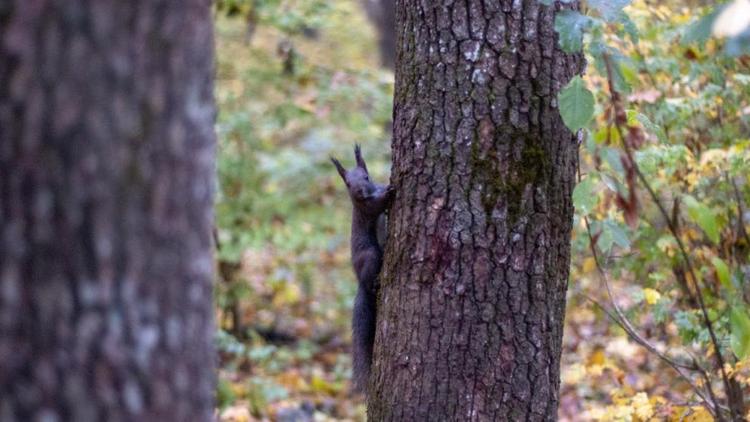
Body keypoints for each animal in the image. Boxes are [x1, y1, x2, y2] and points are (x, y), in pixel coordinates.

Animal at [332, 146, 396, 396]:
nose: (359, 191)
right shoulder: (365, 209)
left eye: (366, 177)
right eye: (348, 183)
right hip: (369, 255)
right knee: (370, 277)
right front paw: (389, 192)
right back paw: (374, 284)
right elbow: (376, 205)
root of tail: (357, 278)